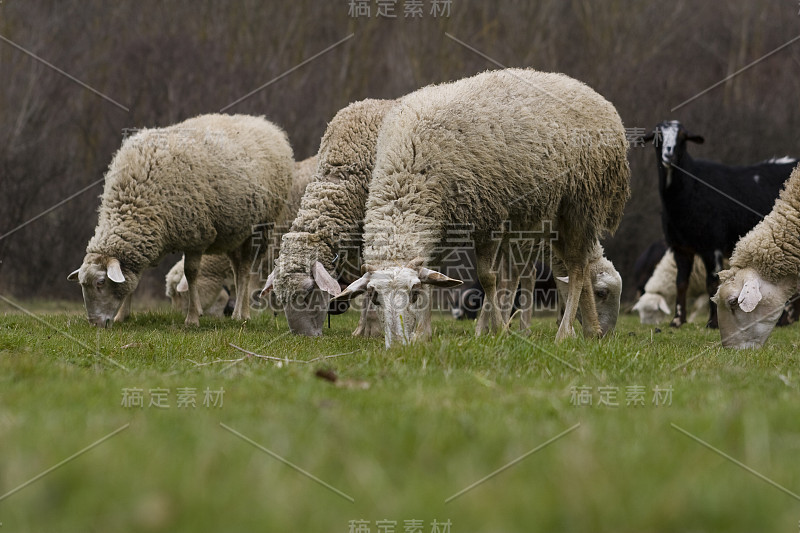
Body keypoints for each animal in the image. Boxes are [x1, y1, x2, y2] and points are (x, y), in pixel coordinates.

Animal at [68, 114, 294, 326]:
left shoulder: (196, 235)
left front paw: (192, 318)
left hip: (260, 227)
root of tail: (266, 124)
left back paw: (241, 314)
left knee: (246, 270)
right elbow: (132, 279)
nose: (94, 323)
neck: (134, 198)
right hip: (234, 232)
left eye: (100, 282)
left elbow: (190, 274)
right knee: (237, 270)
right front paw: (122, 316)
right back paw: (238, 312)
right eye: (83, 285)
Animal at [334, 68, 628, 348]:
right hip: (556, 217)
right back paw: (591, 330)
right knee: (579, 266)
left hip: (582, 203)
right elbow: (434, 273)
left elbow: (488, 278)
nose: (396, 345)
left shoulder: (490, 217)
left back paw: (565, 334)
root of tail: (592, 94)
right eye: (375, 298)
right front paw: (422, 334)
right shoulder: (441, 224)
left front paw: (499, 331)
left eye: (413, 294)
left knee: (577, 269)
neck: (410, 169)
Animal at [648, 121, 796, 328]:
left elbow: (712, 282)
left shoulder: (712, 245)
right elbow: (681, 283)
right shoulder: (681, 248)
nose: (668, 156)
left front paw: (713, 322)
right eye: (658, 135)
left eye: (683, 137)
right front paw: (677, 320)